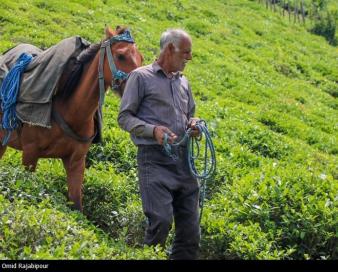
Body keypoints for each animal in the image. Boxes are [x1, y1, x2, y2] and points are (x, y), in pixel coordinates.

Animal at [0, 25, 143, 211]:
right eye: (121, 55)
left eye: (141, 58)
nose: (138, 84)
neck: (72, 111)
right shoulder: (30, 154)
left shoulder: (76, 162)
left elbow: (77, 206)